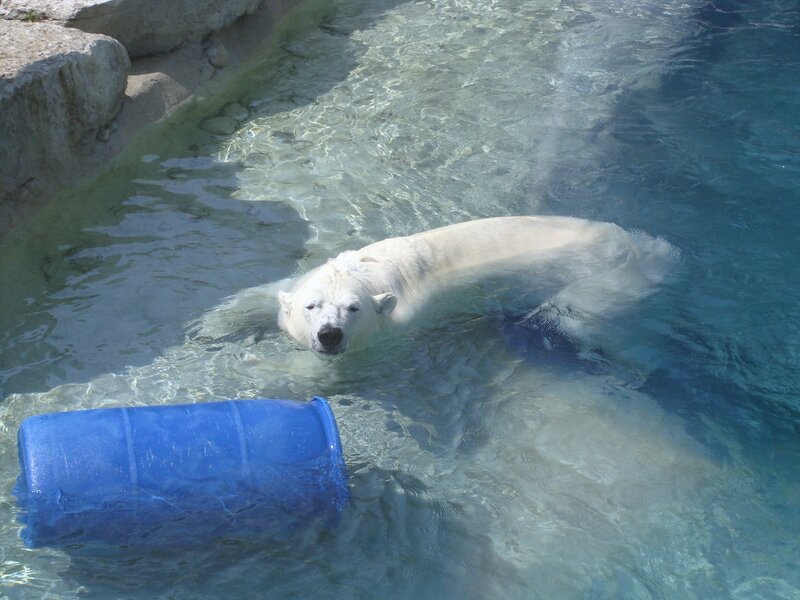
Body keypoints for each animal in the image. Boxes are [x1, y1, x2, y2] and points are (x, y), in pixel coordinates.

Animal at [277, 216, 677, 356]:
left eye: (353, 308)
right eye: (311, 305)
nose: (330, 335)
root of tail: (644, 248)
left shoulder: (394, 333)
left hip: (604, 281)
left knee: (578, 321)